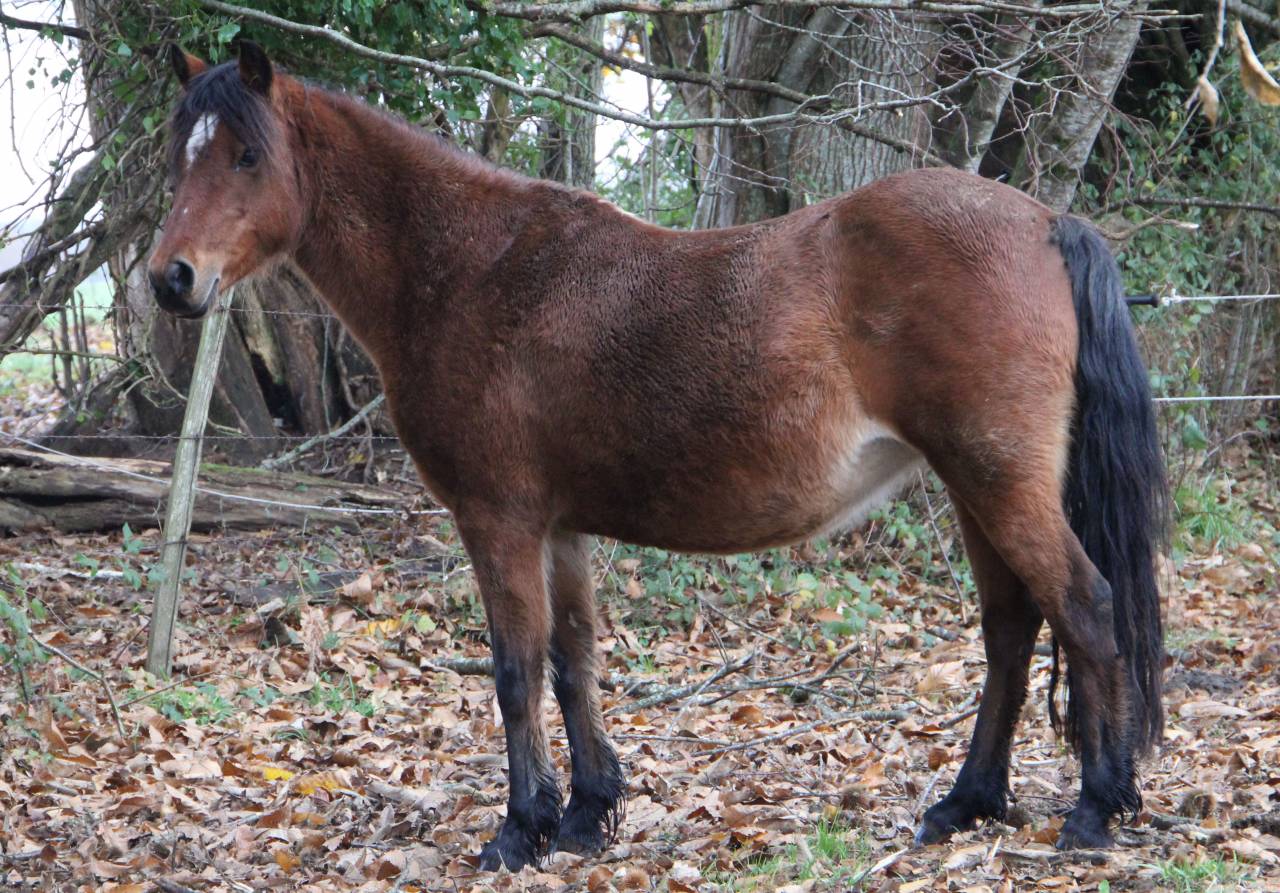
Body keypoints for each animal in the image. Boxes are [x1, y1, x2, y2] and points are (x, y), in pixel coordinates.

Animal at [148, 41, 1167, 871]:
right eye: (176, 153)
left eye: (246, 155)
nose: (170, 279)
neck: (471, 270)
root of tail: (1044, 223)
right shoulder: (557, 527)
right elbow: (573, 660)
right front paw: (586, 813)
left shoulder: (499, 520)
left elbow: (515, 670)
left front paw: (519, 829)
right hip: (975, 485)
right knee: (1011, 628)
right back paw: (966, 803)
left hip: (999, 482)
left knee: (1086, 607)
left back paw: (1094, 808)